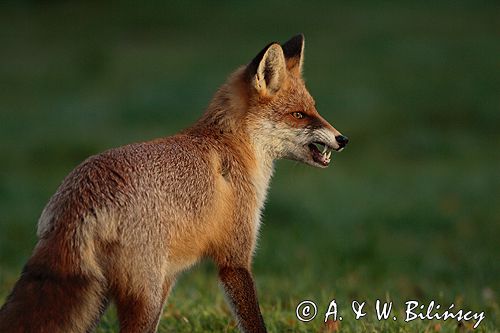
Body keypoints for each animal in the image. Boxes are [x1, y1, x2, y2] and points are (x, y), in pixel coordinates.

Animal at [0, 34, 348, 332]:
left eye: (314, 109)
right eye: (299, 115)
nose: (342, 139)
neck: (233, 146)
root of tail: (79, 197)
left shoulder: (171, 275)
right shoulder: (234, 257)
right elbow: (253, 322)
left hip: (103, 296)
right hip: (142, 294)